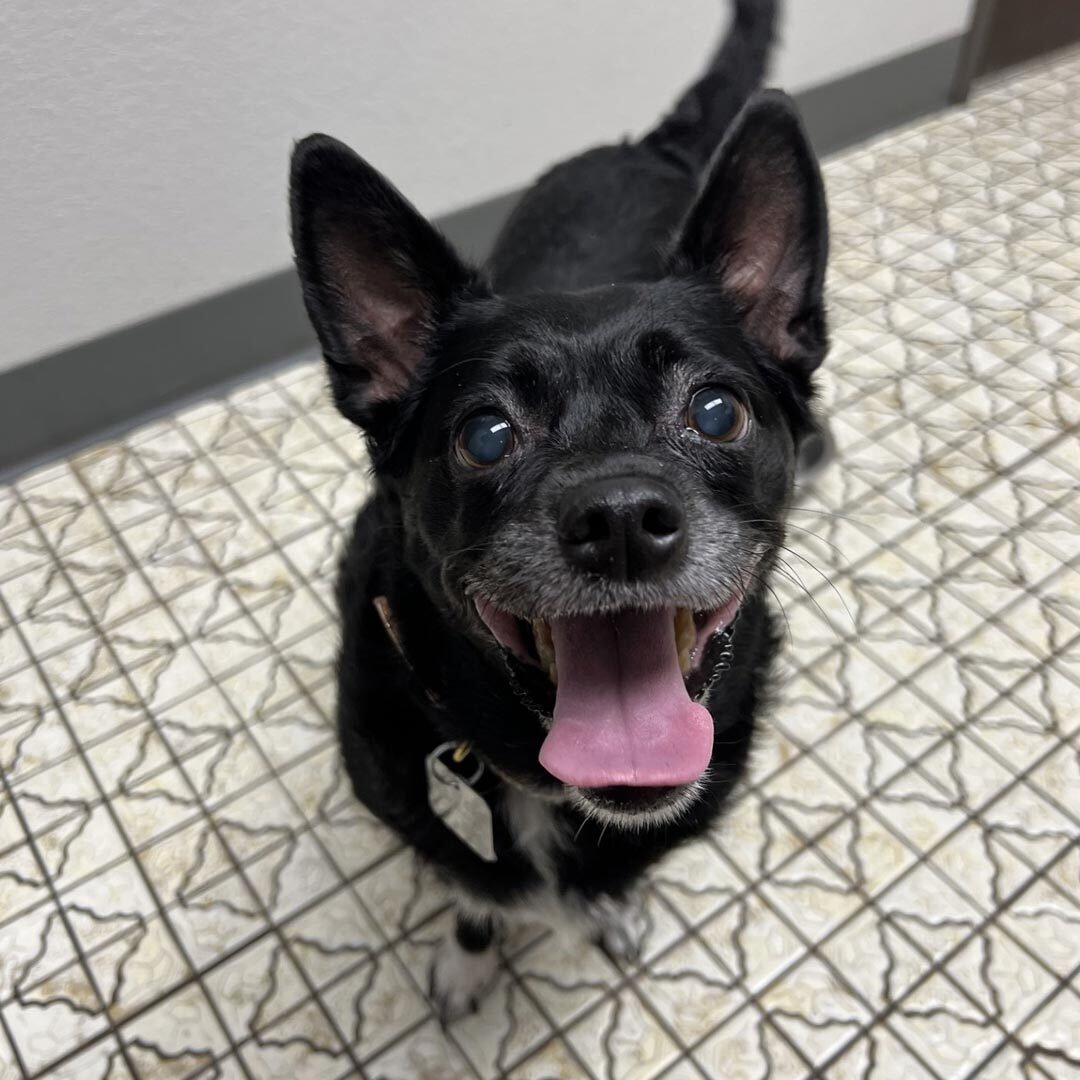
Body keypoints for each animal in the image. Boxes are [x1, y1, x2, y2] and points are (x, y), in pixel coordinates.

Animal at [287, 0, 825, 1015]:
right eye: (485, 434)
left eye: (717, 411)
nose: (619, 520)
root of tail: (650, 144)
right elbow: (472, 892)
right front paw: (469, 958)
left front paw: (611, 912)